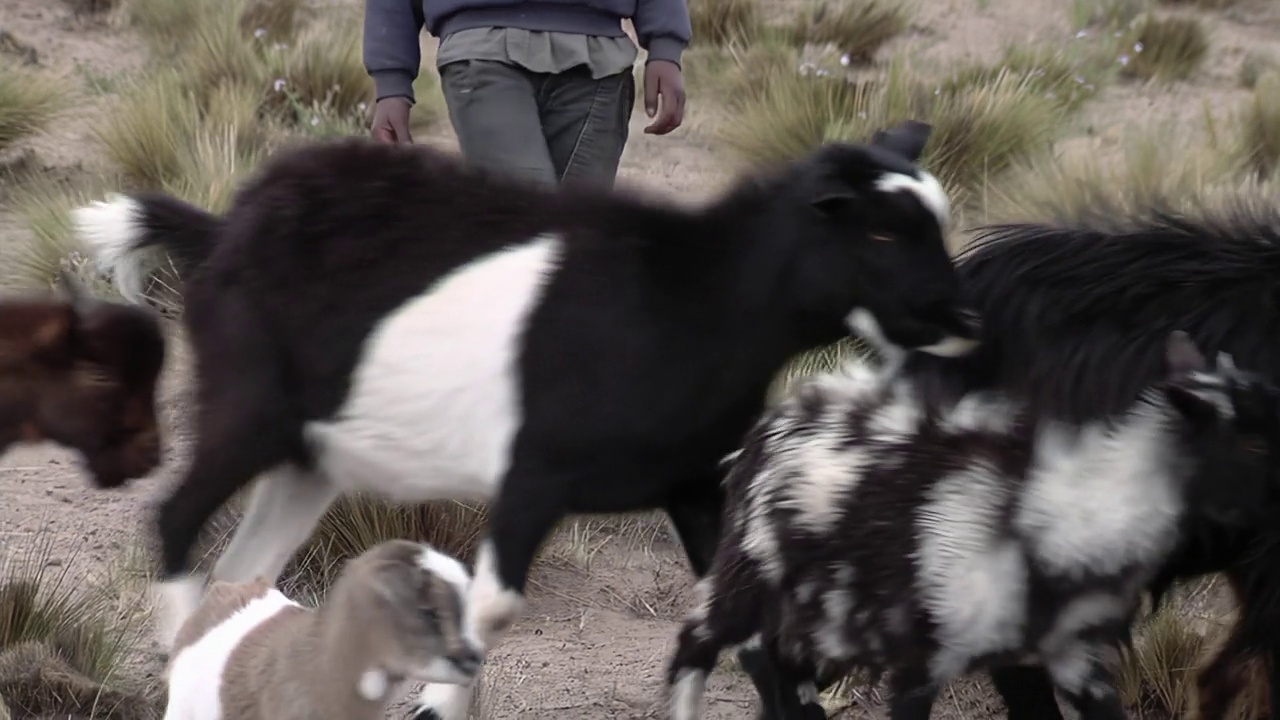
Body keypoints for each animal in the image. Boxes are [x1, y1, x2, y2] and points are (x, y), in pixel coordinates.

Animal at [665, 330, 1280, 717]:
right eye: (1251, 442)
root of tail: (773, 423)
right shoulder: (923, 656)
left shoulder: (1072, 656)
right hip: (749, 569)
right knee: (698, 646)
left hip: (810, 607)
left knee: (783, 672)